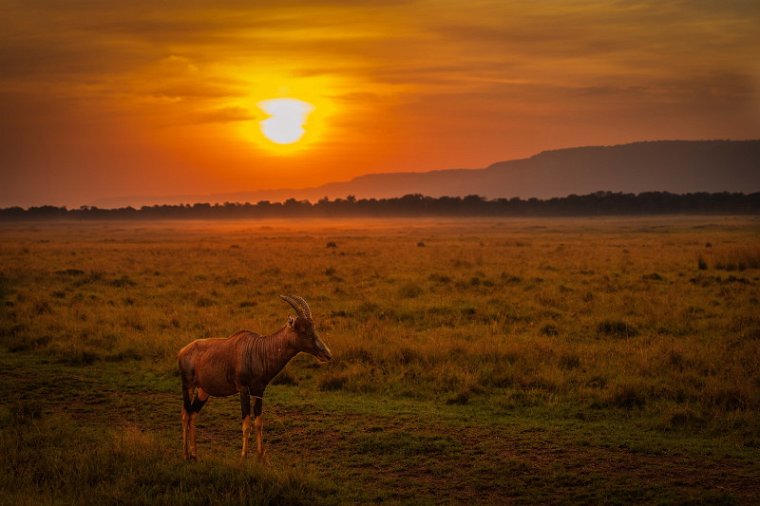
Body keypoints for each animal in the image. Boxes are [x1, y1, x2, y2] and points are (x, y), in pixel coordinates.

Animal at [180, 292, 334, 462]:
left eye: (313, 328)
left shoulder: (260, 391)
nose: (327, 354)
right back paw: (185, 454)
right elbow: (246, 423)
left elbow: (259, 422)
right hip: (188, 386)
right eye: (303, 331)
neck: (259, 348)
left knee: (193, 414)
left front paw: (260, 456)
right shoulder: (243, 390)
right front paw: (244, 457)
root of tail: (183, 350)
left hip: (203, 391)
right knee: (185, 414)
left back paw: (194, 455)